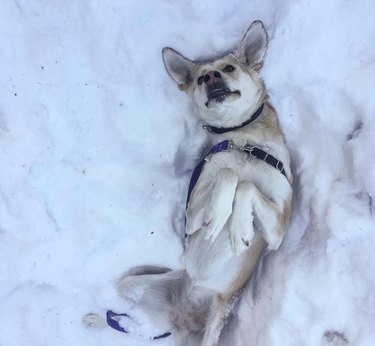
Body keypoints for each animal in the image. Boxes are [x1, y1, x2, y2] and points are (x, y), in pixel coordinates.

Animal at [84, 21, 294, 346]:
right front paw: (220, 216)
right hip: (132, 284)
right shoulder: (193, 215)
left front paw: (239, 228)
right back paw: (97, 320)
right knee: (134, 323)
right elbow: (228, 176)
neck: (242, 143)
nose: (210, 77)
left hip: (210, 326)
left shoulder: (278, 230)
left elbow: (245, 186)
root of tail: (184, 319)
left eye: (229, 67)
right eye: (198, 78)